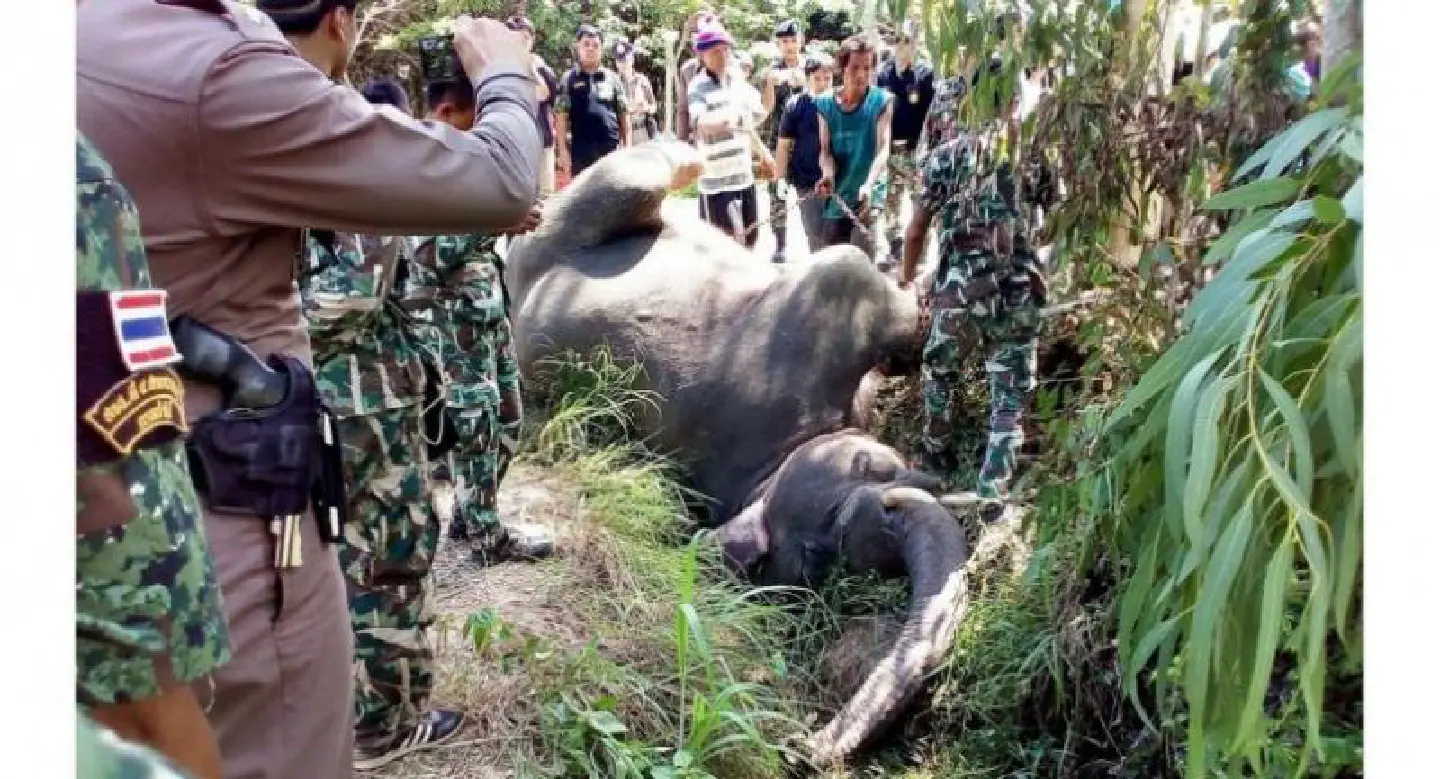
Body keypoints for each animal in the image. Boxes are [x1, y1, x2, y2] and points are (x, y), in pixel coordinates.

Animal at [505, 142, 973, 764]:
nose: (803, 746)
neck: (769, 469)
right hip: (552, 238)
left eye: (875, 465)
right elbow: (850, 269)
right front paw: (916, 292)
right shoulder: (813, 319)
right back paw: (683, 158)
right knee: (629, 181)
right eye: (822, 546)